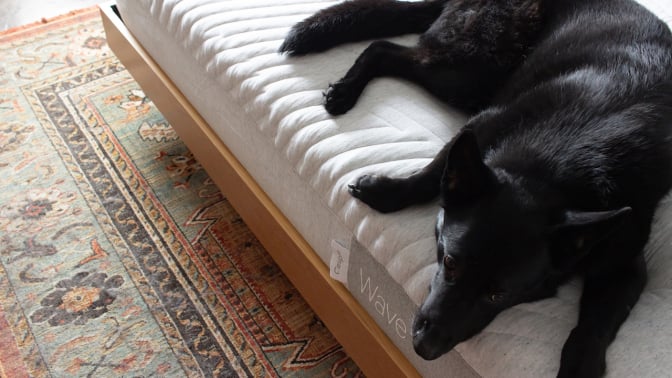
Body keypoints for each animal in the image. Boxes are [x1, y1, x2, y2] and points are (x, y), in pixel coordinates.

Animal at [280, 1, 672, 376]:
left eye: (498, 295)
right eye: (449, 262)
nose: (423, 348)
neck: (558, 165)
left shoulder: (624, 267)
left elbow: (594, 326)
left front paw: (581, 364)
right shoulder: (485, 122)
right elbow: (434, 172)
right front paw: (388, 192)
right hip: (470, 71)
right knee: (383, 48)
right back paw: (345, 91)